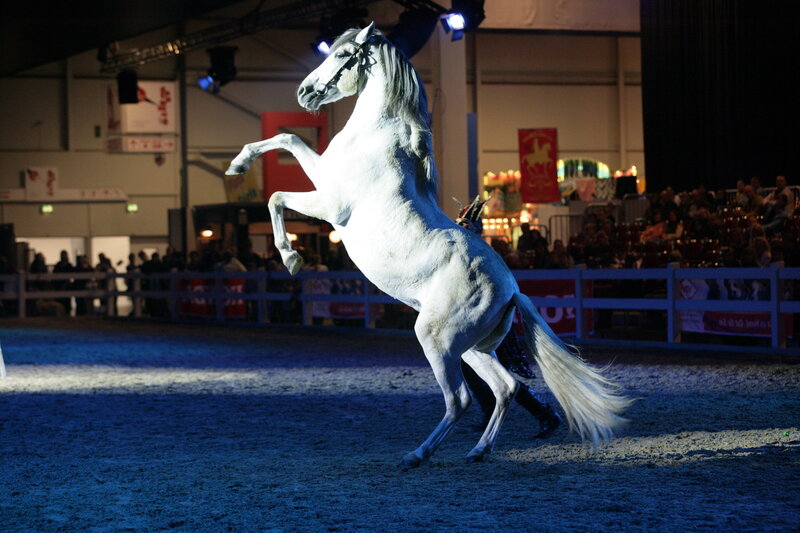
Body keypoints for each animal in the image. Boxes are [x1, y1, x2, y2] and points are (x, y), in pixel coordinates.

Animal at [227, 23, 631, 468]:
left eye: (343, 55)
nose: (304, 92)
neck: (377, 136)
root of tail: (512, 290)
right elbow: (286, 138)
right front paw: (238, 163)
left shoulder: (330, 203)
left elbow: (277, 192)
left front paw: (291, 258)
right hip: (469, 348)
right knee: (505, 387)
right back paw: (478, 450)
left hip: (436, 338)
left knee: (461, 399)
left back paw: (417, 454)